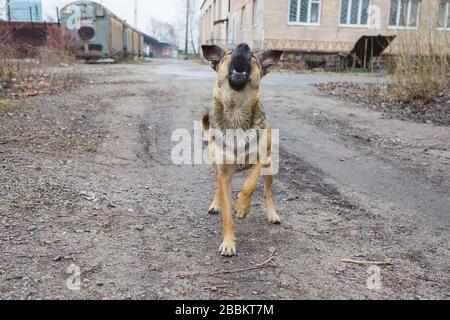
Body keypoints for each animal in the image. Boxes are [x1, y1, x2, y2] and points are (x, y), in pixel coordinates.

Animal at [202, 43, 284, 258]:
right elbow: (226, 215)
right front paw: (228, 243)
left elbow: (249, 184)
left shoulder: (262, 158)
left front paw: (241, 207)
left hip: (270, 168)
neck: (237, 108)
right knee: (217, 184)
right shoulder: (224, 173)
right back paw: (215, 204)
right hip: (216, 166)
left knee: (267, 193)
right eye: (229, 53)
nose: (243, 45)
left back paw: (272, 214)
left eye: (253, 56)